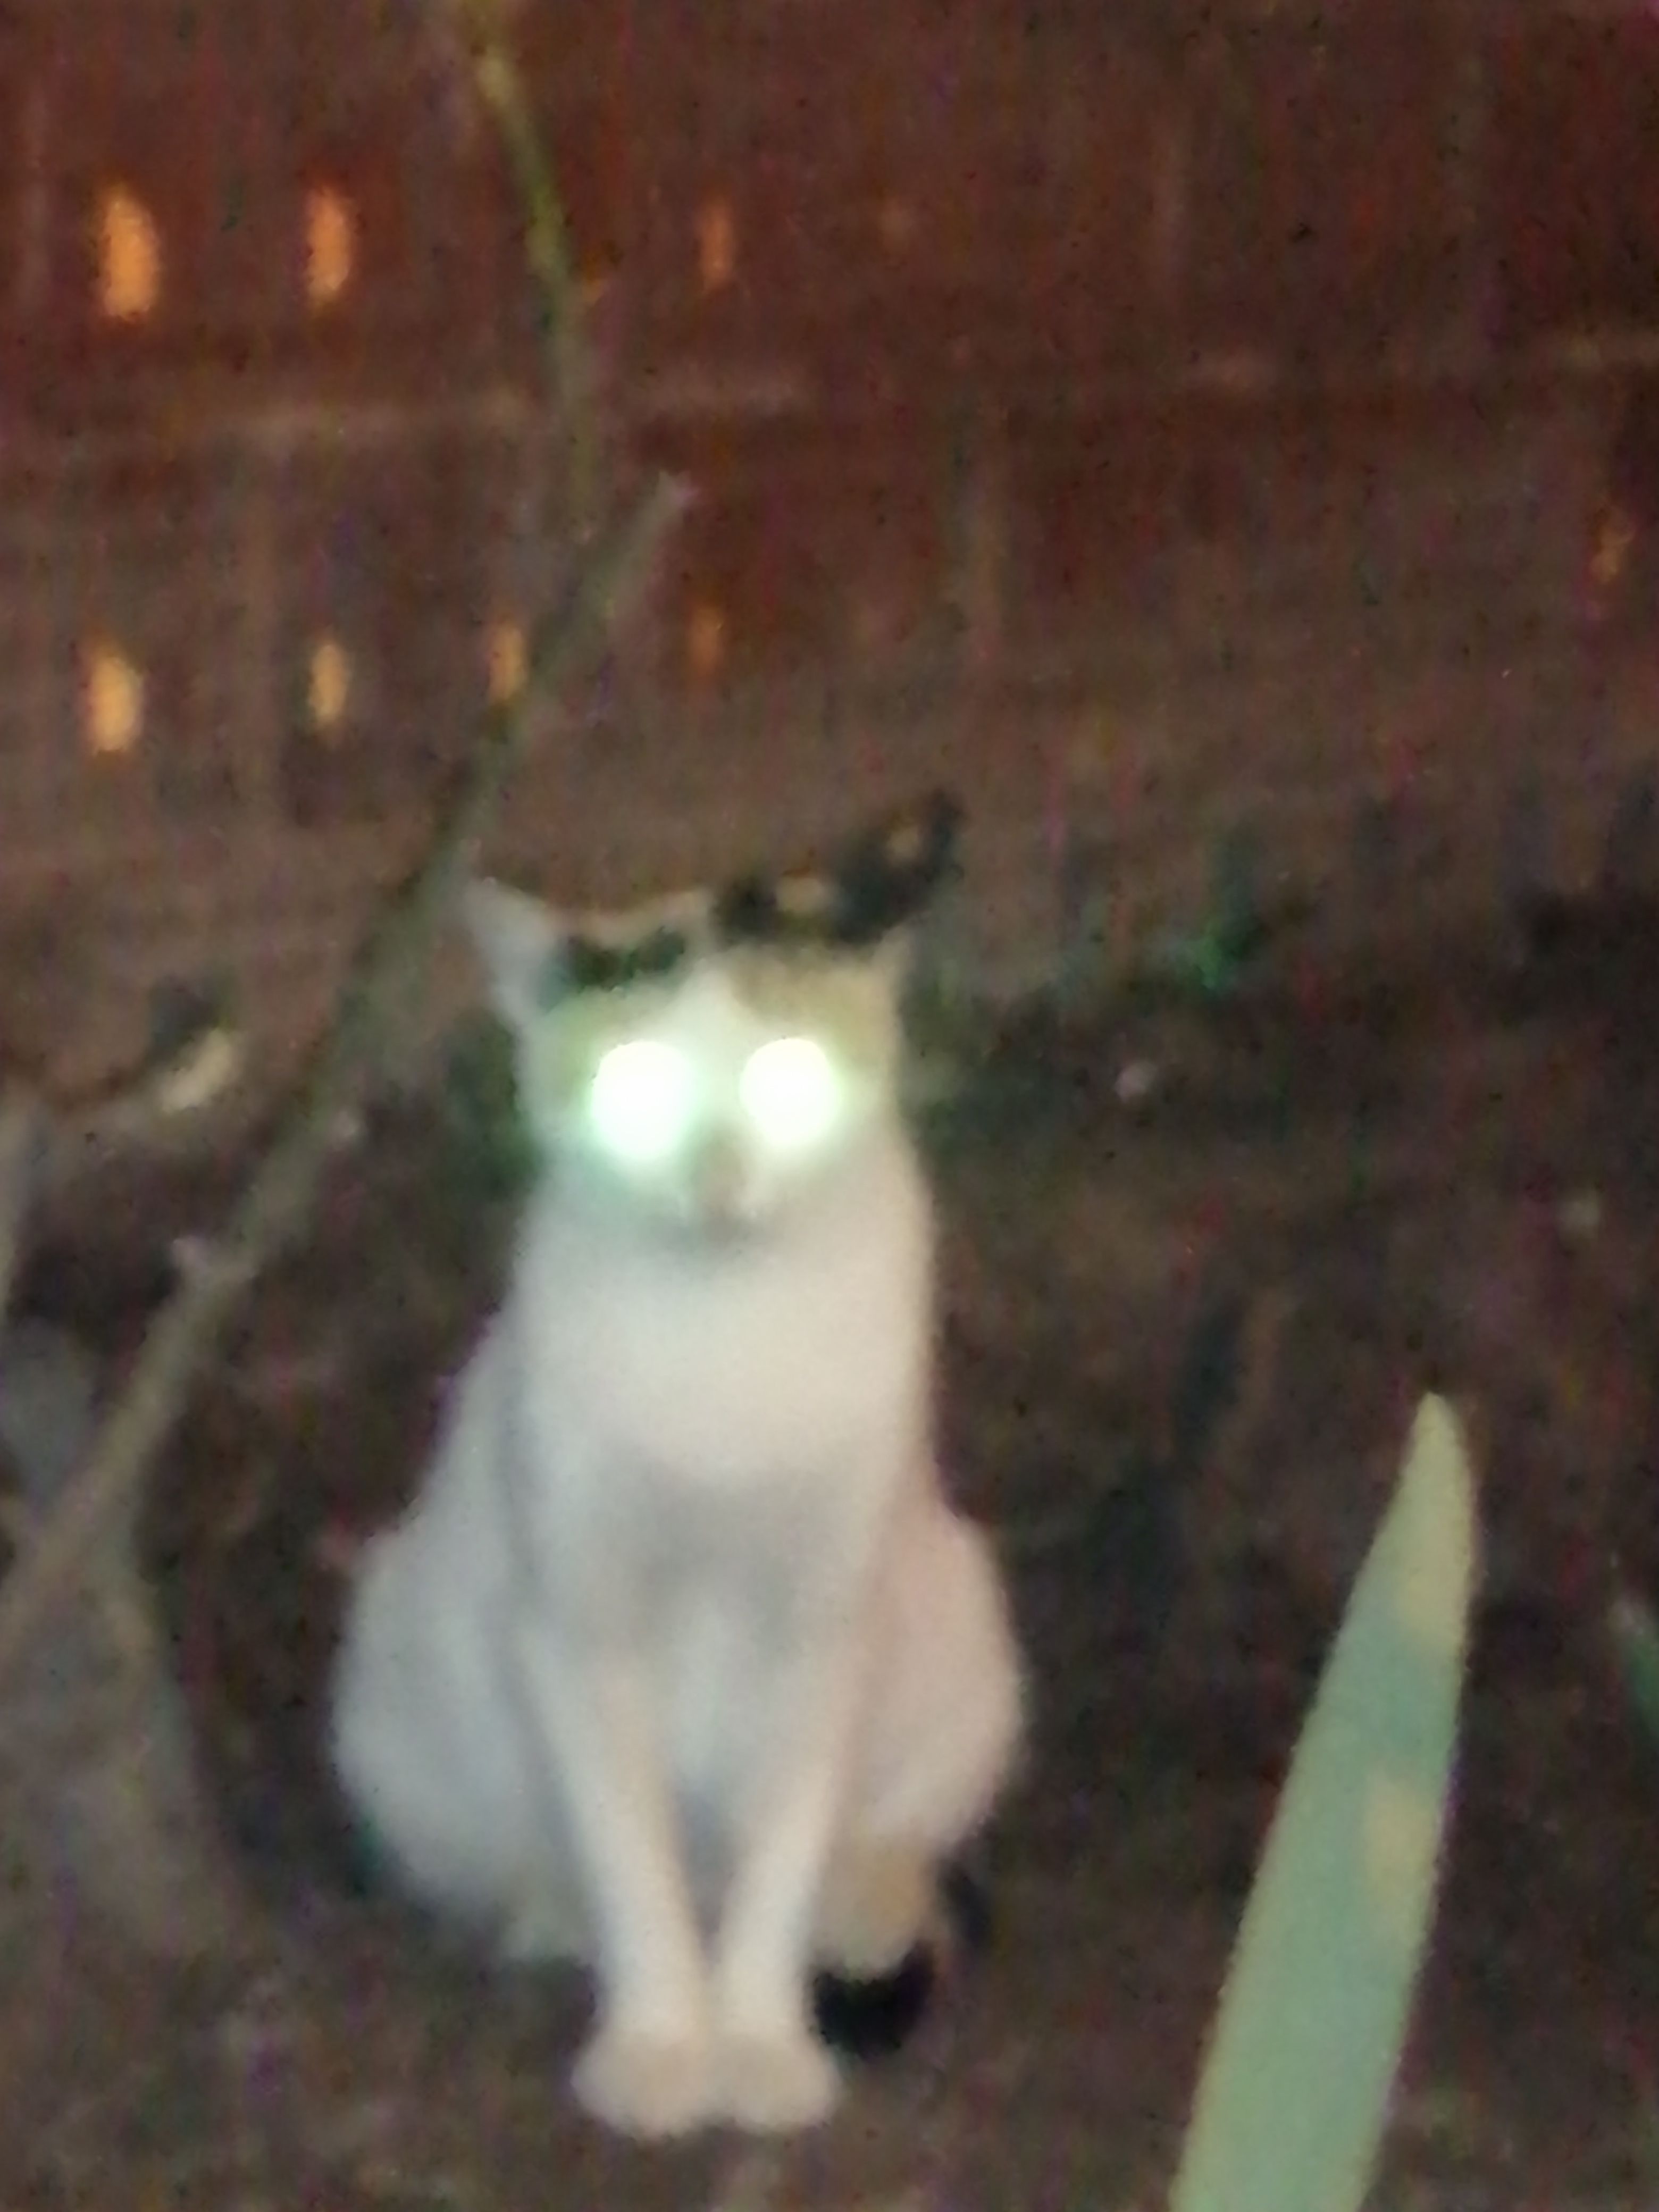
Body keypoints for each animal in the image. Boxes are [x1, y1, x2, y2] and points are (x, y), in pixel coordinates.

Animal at [326, 799, 1026, 2141]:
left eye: (793, 1072)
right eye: (635, 1088)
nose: (716, 1179)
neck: (724, 1349)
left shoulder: (828, 1621)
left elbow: (787, 1841)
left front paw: (757, 2044)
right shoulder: (571, 1620)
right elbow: (624, 1846)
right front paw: (657, 2045)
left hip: (964, 1624)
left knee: (895, 1834)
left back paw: (862, 1906)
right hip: (394, 1686)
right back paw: (553, 1916)